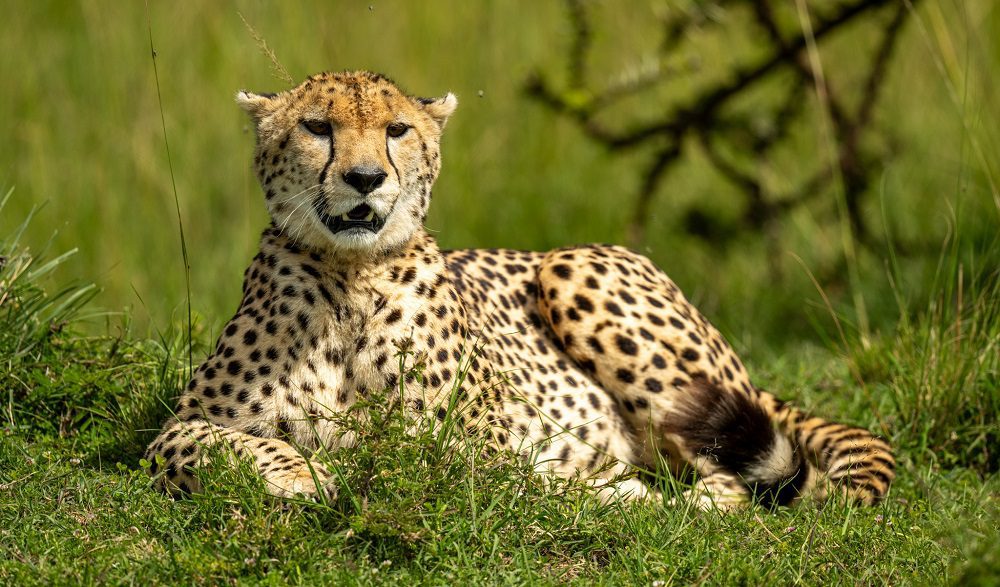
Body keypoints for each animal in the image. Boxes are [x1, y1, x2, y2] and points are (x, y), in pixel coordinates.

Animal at [144, 71, 894, 509]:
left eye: (396, 130)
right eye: (317, 126)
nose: (364, 179)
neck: (350, 279)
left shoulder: (473, 445)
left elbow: (419, 458)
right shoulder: (179, 424)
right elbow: (204, 444)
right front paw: (301, 473)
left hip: (576, 269)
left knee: (727, 483)